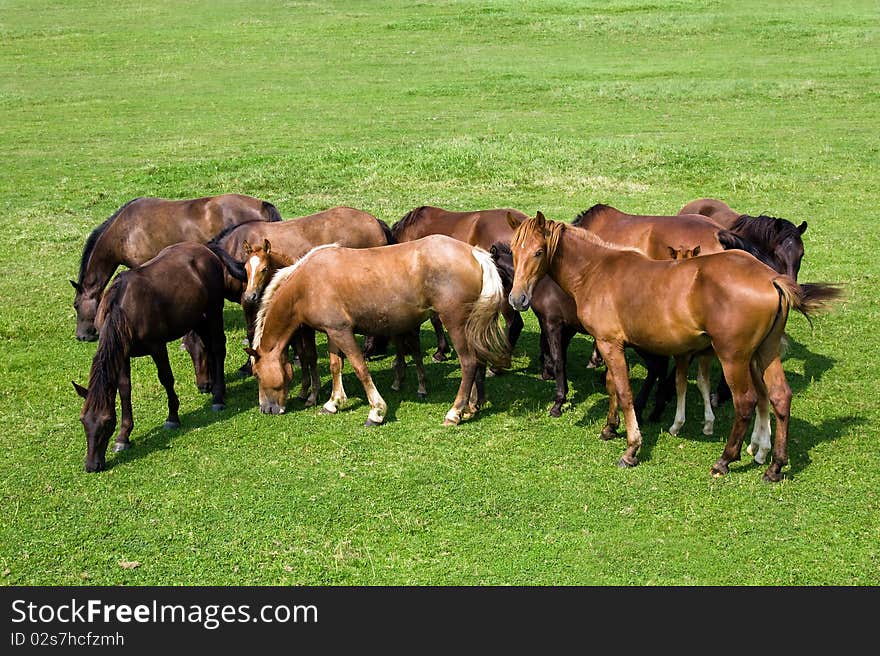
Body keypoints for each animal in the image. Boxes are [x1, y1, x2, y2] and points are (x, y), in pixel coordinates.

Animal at [69, 241, 244, 472]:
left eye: (106, 421)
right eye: (83, 420)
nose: (92, 465)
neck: (121, 310)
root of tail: (206, 249)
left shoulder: (157, 346)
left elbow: (166, 379)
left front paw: (173, 417)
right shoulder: (122, 354)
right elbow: (124, 389)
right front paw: (124, 436)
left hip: (214, 309)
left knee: (217, 347)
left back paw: (218, 396)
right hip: (196, 315)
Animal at [248, 237, 508, 430]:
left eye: (257, 375)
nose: (265, 409)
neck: (307, 283)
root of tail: (475, 253)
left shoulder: (343, 332)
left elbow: (360, 368)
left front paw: (376, 412)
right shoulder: (333, 332)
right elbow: (335, 366)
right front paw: (333, 403)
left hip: (455, 323)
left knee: (469, 363)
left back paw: (454, 413)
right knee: (477, 363)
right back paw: (470, 408)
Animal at [506, 214, 844, 482]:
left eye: (538, 252)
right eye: (513, 250)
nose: (517, 299)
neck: (598, 270)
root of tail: (772, 278)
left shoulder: (609, 343)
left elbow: (624, 392)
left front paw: (631, 448)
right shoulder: (609, 343)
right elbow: (612, 385)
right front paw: (609, 428)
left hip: (734, 358)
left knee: (746, 402)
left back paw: (725, 459)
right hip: (765, 354)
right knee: (779, 397)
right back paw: (774, 466)